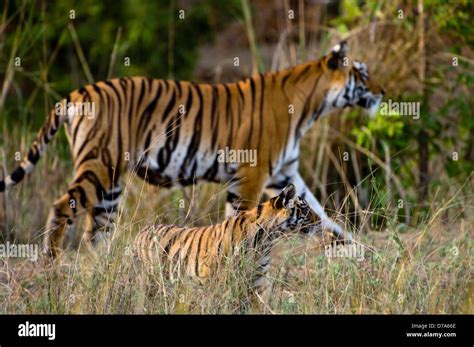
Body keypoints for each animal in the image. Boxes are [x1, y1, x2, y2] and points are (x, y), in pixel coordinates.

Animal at [0, 41, 384, 258]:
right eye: (363, 74)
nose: (382, 91)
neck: (311, 105)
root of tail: (75, 93)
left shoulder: (285, 173)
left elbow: (322, 214)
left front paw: (356, 248)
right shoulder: (252, 172)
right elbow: (241, 219)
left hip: (111, 182)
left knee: (97, 230)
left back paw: (101, 267)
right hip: (99, 166)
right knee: (62, 207)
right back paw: (52, 263)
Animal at [135, 185, 322, 294]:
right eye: (305, 208)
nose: (320, 220)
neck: (266, 239)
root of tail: (142, 230)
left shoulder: (257, 280)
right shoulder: (221, 282)